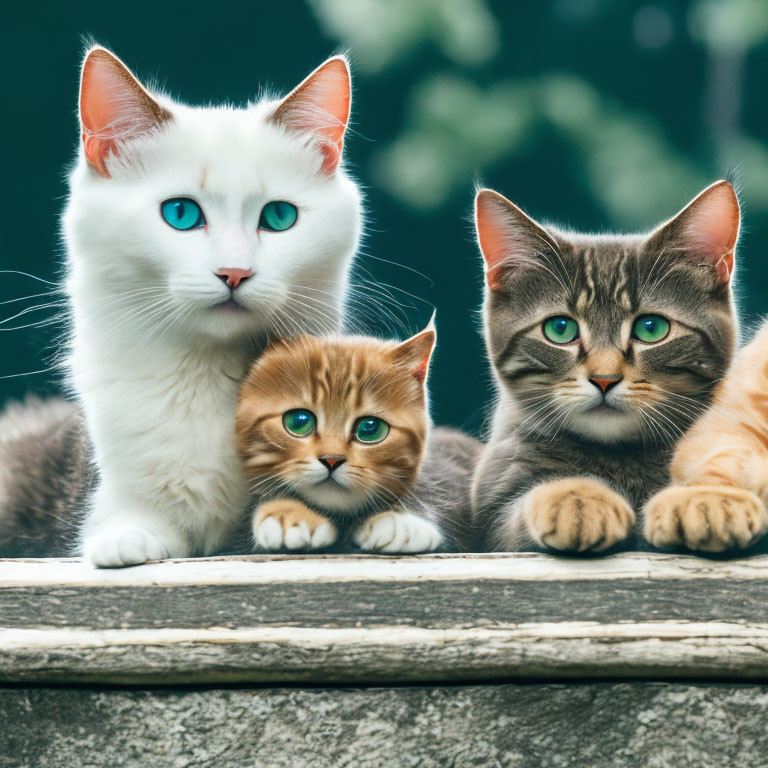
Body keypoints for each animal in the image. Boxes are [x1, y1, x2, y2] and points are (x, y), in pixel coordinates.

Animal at [62, 46, 360, 564]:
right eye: (180, 214)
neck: (202, 374)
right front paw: (127, 538)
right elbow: (127, 518)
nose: (234, 273)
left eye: (279, 217)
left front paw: (292, 523)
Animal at [472, 180, 740, 552]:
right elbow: (512, 513)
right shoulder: (495, 500)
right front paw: (575, 499)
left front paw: (704, 497)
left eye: (651, 328)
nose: (604, 379)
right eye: (560, 329)